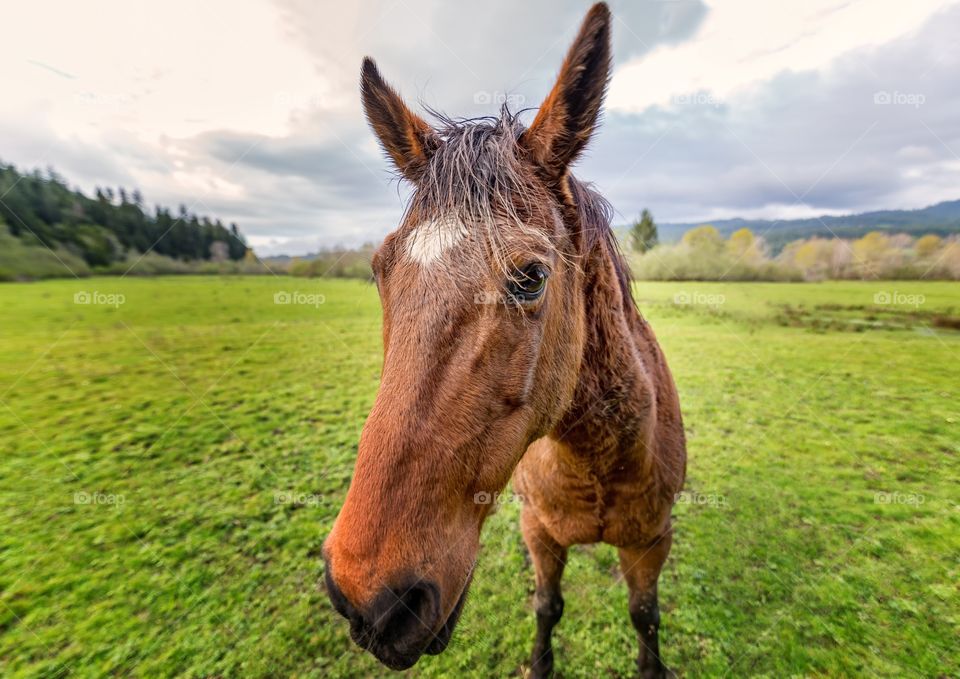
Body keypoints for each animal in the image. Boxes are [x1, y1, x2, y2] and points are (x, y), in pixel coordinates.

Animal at [326, 3, 688, 676]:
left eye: (530, 277)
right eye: (379, 270)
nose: (368, 599)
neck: (596, 457)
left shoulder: (652, 542)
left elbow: (645, 616)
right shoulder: (540, 535)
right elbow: (547, 607)